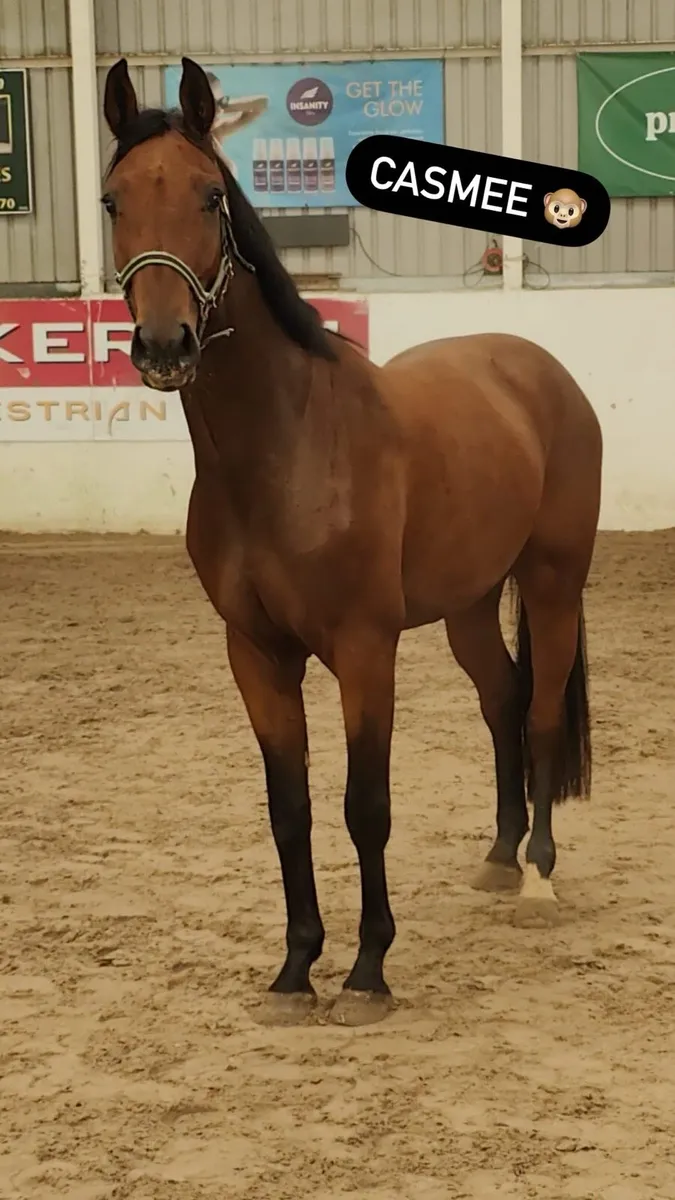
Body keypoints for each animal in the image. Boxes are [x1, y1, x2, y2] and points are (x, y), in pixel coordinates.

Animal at [102, 56, 602, 1027]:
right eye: (112, 200)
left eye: (210, 196)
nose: (163, 344)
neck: (287, 448)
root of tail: (538, 369)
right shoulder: (256, 653)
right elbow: (288, 809)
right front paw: (295, 970)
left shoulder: (365, 650)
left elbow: (363, 806)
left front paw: (368, 973)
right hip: (468, 607)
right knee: (501, 702)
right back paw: (498, 857)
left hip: (553, 582)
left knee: (540, 710)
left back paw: (537, 876)